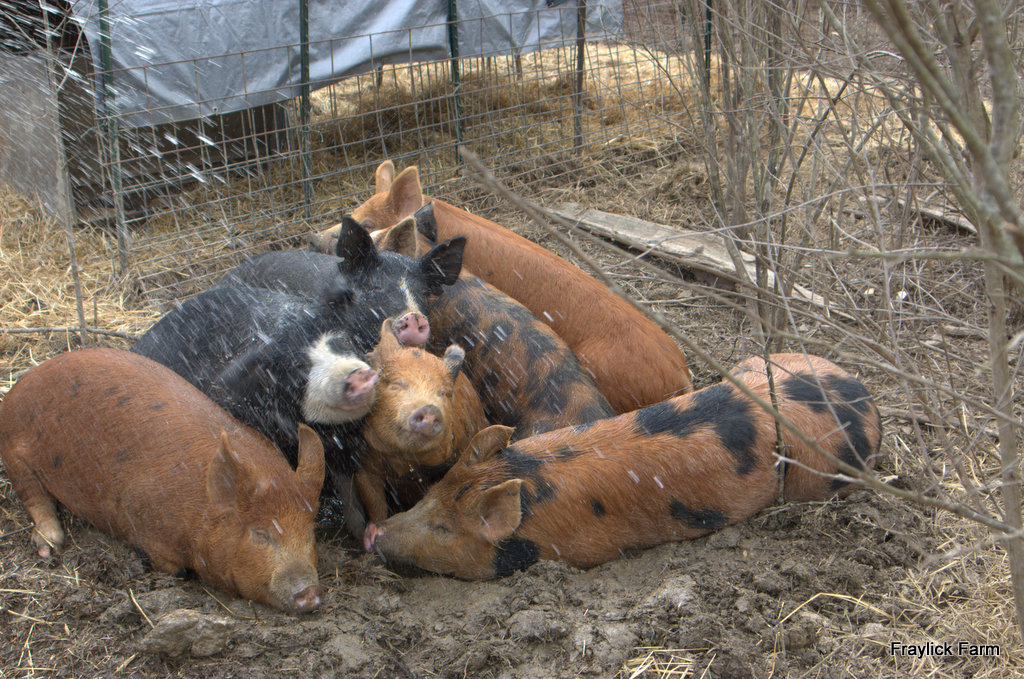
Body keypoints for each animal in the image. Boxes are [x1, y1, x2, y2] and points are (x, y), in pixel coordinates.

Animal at [0, 348, 325, 614]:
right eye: (261, 534)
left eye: (310, 532)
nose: (308, 593)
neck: (201, 510)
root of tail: (21, 384)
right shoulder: (142, 524)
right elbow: (172, 568)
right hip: (14, 452)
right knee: (33, 495)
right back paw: (49, 548)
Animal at [356, 319, 487, 532]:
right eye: (396, 385)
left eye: (444, 393)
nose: (430, 408)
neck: (403, 460)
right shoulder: (363, 463)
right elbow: (374, 504)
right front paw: (373, 532)